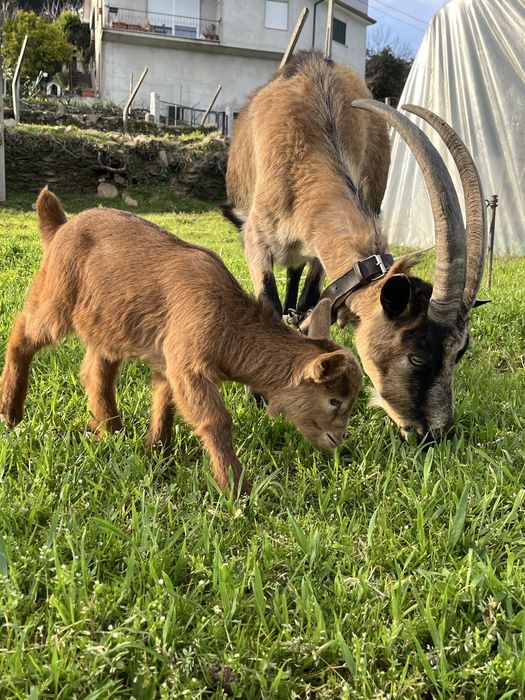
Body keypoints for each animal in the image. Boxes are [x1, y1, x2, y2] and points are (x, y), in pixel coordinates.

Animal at [0, 187, 362, 494]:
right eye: (334, 400)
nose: (341, 438)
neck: (229, 322)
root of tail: (60, 226)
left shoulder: (170, 362)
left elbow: (165, 403)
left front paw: (157, 453)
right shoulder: (189, 367)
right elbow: (216, 421)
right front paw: (236, 488)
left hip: (108, 324)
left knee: (96, 372)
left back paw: (111, 430)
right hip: (56, 297)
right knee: (22, 335)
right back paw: (11, 412)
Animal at [222, 51, 487, 442]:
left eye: (460, 352)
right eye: (417, 356)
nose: (434, 434)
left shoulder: (320, 256)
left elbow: (313, 302)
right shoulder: (256, 239)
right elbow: (267, 304)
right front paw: (258, 391)